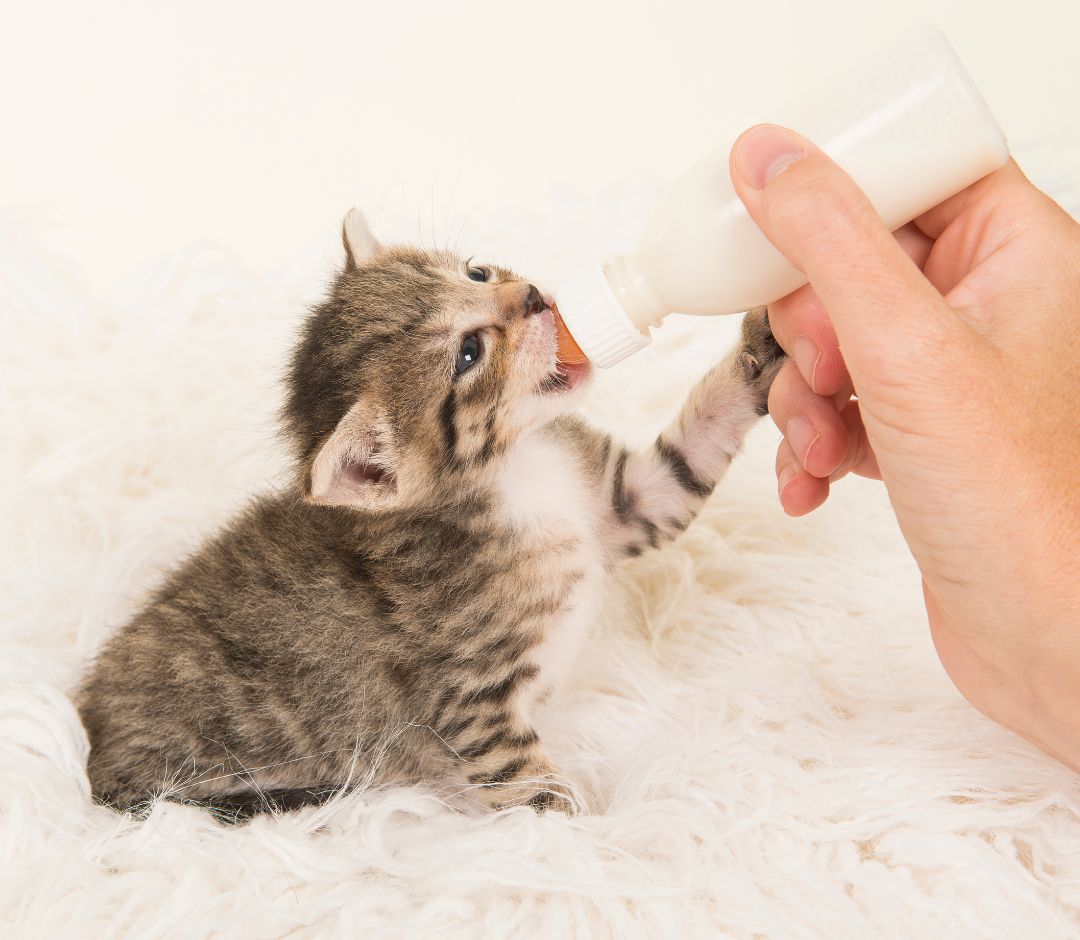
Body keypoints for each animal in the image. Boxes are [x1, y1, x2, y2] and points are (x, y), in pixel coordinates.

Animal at [76, 209, 786, 821]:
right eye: (469, 353)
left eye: (475, 272)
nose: (534, 296)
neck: (519, 473)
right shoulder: (473, 706)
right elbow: (535, 793)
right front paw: (596, 844)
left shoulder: (625, 502)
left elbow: (690, 451)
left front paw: (762, 350)